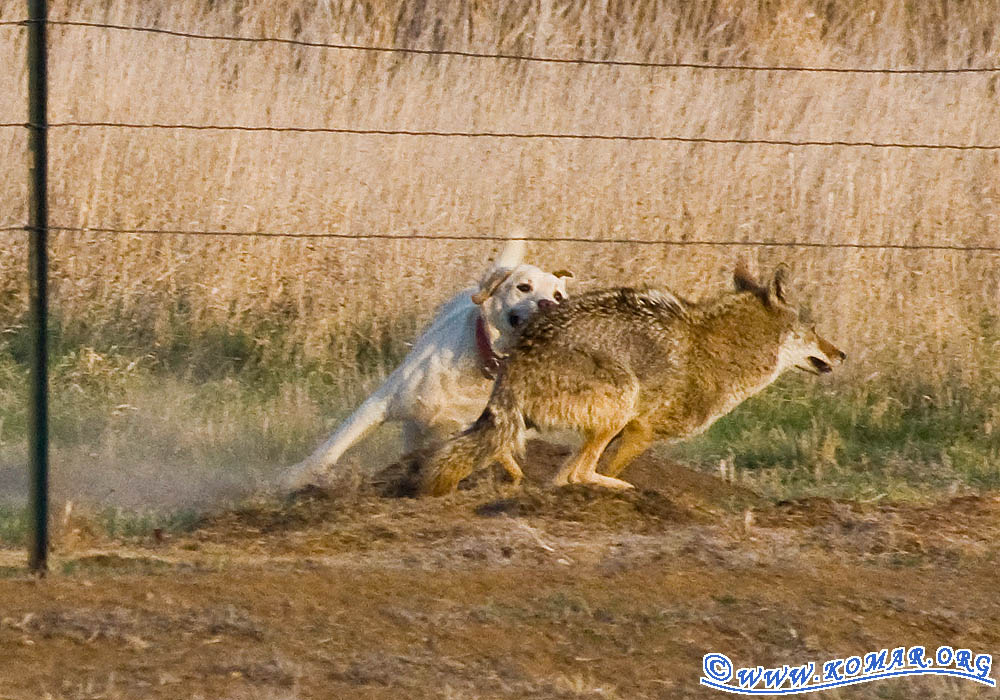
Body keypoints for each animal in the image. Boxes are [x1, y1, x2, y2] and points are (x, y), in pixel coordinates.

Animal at [282, 241, 572, 492]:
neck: (483, 366)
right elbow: (333, 447)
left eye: (558, 295)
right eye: (523, 287)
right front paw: (293, 478)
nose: (549, 304)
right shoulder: (381, 403)